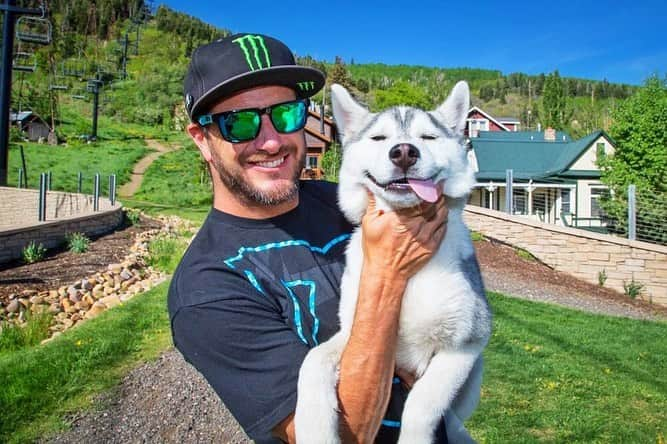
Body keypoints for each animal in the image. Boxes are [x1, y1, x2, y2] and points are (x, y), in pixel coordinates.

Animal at [296, 81, 490, 442]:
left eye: (428, 137)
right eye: (378, 138)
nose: (403, 152)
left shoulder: (465, 346)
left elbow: (422, 405)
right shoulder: (351, 334)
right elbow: (312, 362)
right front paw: (313, 427)